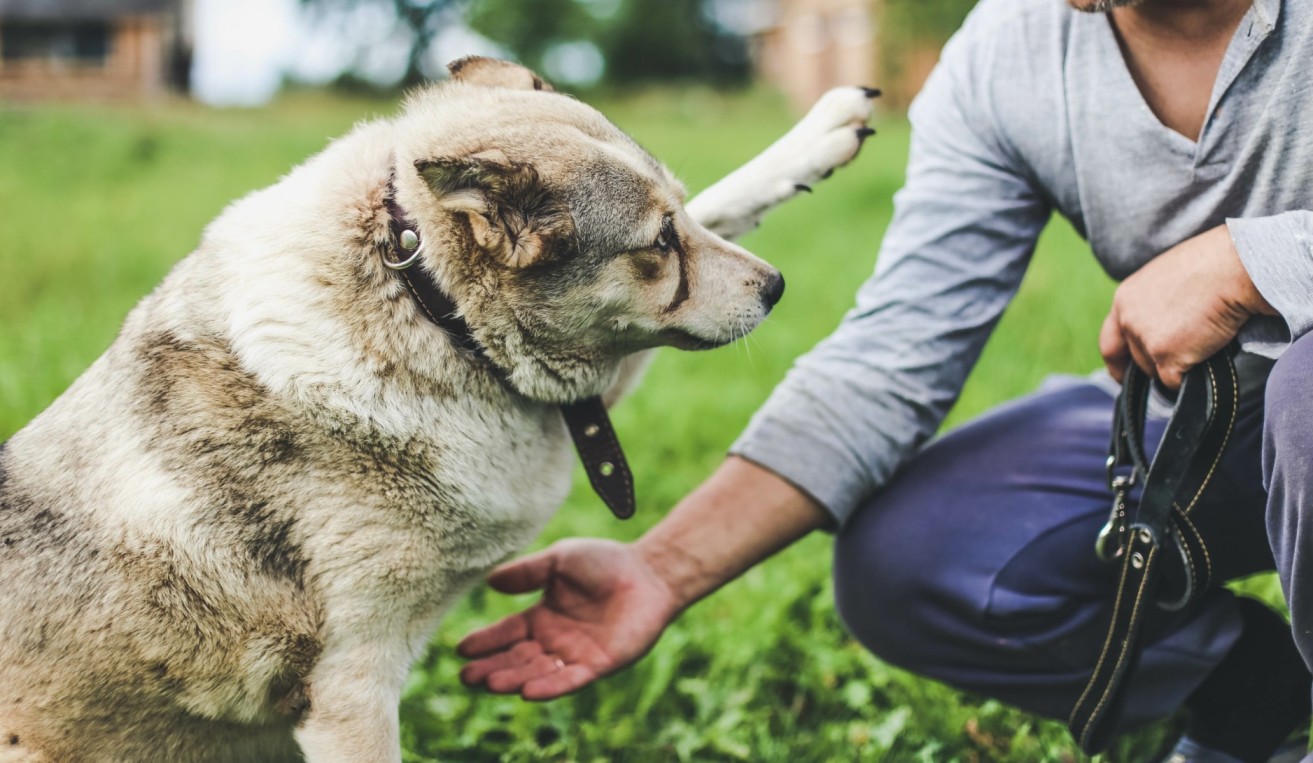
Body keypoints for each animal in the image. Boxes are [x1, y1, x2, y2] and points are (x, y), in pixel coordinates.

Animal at [2, 56, 882, 756]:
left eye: (682, 217)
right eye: (657, 246)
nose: (775, 288)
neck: (431, 308)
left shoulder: (570, 384)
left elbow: (735, 201)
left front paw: (820, 135)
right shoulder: (351, 685)